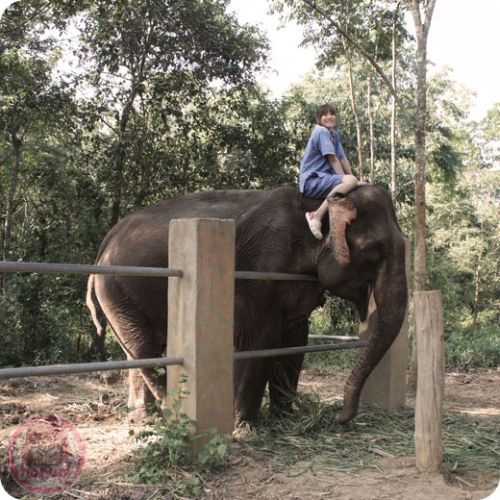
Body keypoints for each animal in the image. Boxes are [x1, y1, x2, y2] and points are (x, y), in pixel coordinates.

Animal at [86, 186, 406, 424]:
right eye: (376, 252)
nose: (340, 418)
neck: (314, 205)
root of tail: (104, 244)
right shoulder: (259, 269)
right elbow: (261, 339)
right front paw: (244, 424)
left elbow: (294, 340)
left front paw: (285, 418)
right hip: (117, 288)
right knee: (145, 348)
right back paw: (168, 411)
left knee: (137, 349)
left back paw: (144, 418)